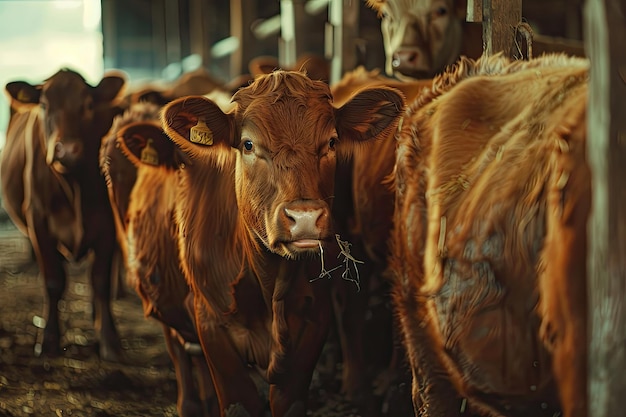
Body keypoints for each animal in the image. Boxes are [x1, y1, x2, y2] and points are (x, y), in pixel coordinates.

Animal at [0, 67, 128, 358]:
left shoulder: (108, 224)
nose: (66, 150)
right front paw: (48, 340)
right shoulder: (39, 222)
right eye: (44, 106)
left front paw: (110, 340)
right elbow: (54, 280)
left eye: (88, 105)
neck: (74, 186)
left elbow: (100, 281)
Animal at [149, 70, 402, 414]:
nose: (305, 217)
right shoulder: (210, 322)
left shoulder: (313, 324)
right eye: (248, 144)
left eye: (332, 141)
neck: (271, 284)